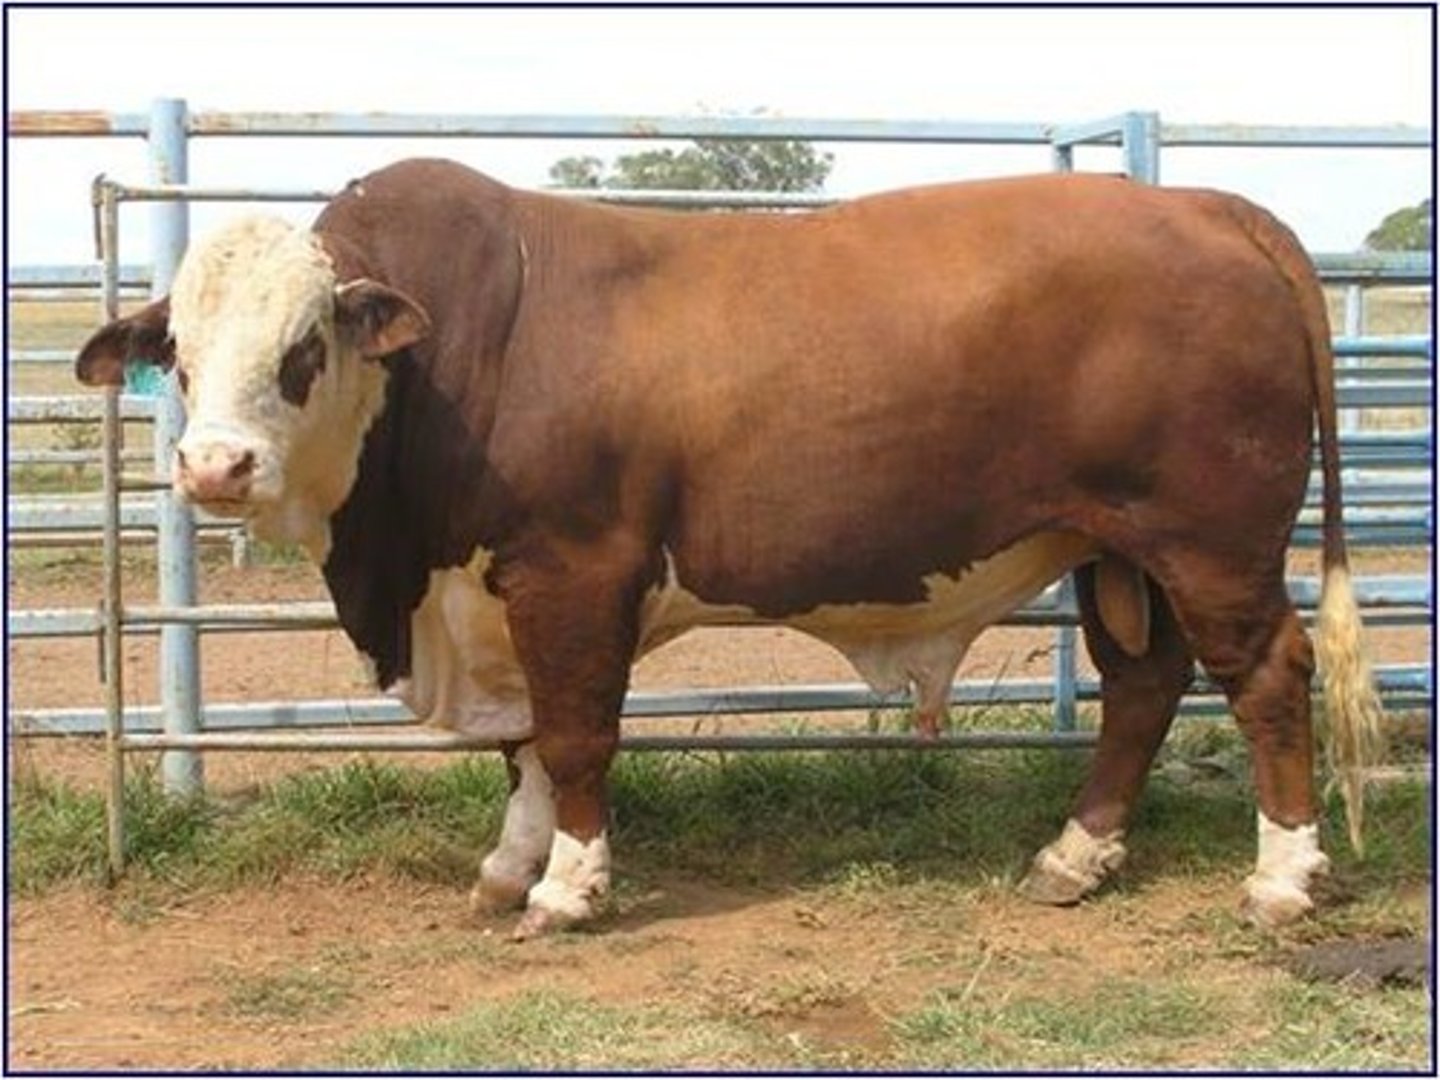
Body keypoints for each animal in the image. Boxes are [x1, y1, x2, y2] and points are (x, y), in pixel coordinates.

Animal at [75, 159, 1383, 939]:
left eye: (304, 348)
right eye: (177, 354)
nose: (214, 467)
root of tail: (1207, 204)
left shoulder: (574, 571)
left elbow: (574, 736)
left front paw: (568, 889)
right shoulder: (501, 597)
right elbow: (525, 748)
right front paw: (509, 865)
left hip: (1210, 541)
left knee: (1267, 677)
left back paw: (1282, 877)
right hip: (1117, 547)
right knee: (1143, 686)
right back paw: (1075, 855)